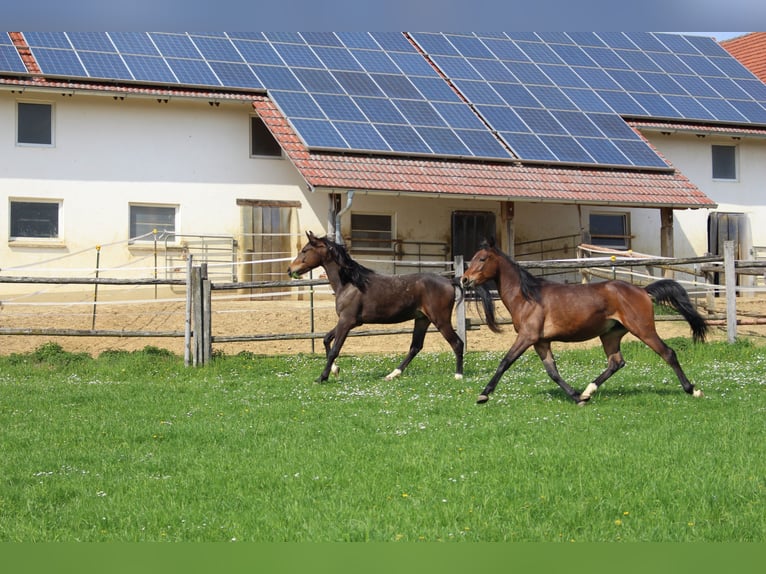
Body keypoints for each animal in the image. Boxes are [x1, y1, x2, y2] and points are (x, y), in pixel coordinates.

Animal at [287, 231, 464, 382]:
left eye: (304, 250)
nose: (289, 269)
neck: (350, 284)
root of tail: (449, 281)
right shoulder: (349, 322)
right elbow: (325, 339)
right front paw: (335, 370)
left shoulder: (347, 321)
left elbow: (334, 350)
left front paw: (322, 377)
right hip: (422, 319)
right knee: (415, 347)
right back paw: (392, 374)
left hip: (440, 320)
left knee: (457, 343)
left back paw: (458, 375)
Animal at [460, 239, 708, 405]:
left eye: (482, 259)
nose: (464, 280)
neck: (527, 297)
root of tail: (643, 291)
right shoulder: (541, 341)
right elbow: (552, 372)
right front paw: (577, 397)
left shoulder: (527, 337)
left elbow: (505, 361)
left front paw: (483, 394)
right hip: (610, 335)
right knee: (616, 362)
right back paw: (589, 391)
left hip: (643, 330)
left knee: (668, 353)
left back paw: (693, 390)